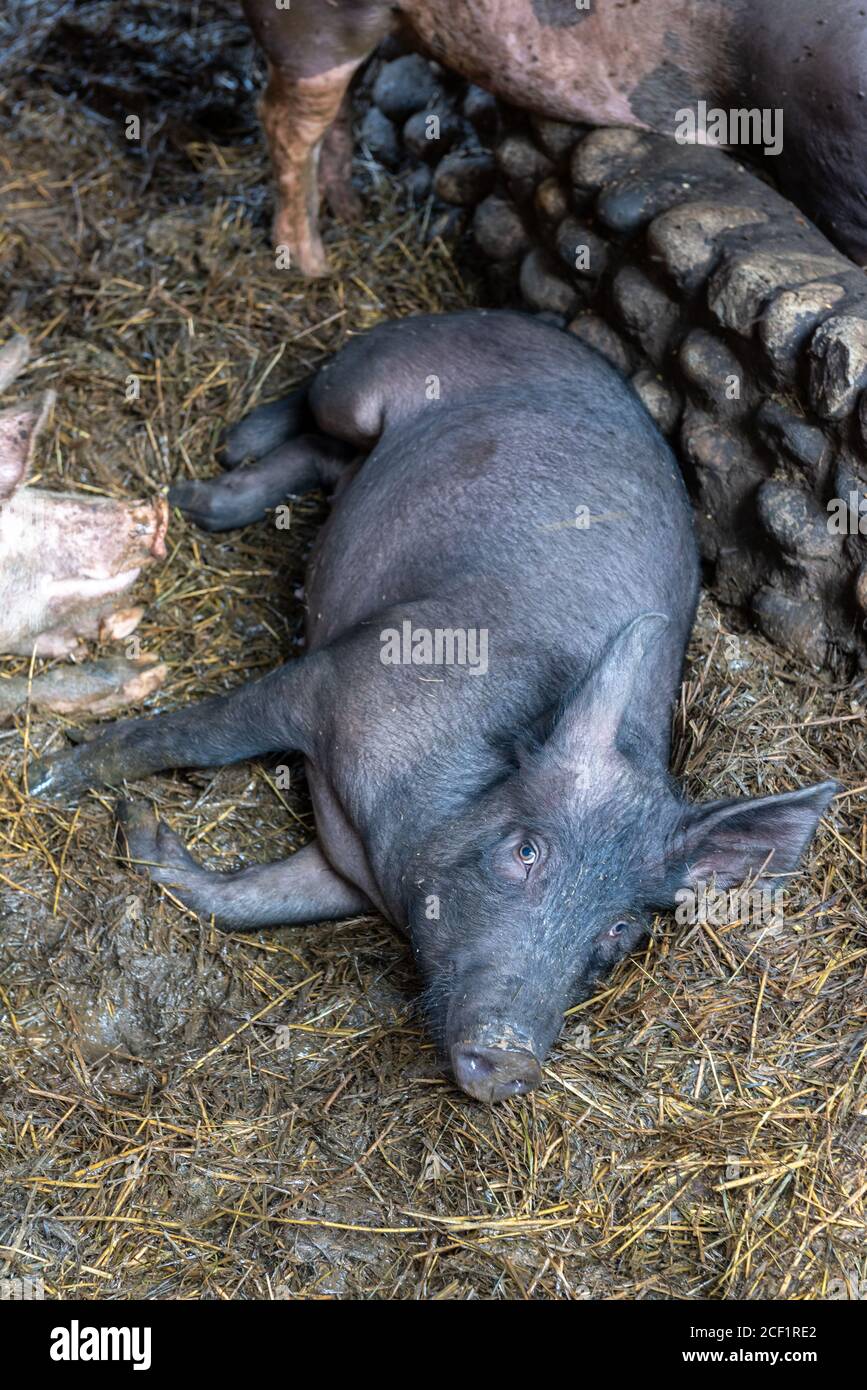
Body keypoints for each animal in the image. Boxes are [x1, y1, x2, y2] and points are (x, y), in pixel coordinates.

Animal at [29, 311, 840, 1102]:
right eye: (525, 850)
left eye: (617, 927)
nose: (511, 1058)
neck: (391, 854)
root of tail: (540, 326)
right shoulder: (330, 679)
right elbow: (190, 737)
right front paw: (52, 780)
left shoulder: (342, 871)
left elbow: (248, 901)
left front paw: (143, 828)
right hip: (365, 379)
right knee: (318, 410)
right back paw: (219, 461)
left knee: (327, 460)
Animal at [240, 0, 867, 274]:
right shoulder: (832, 161)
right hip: (312, 25)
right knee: (283, 120)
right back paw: (313, 263)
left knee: (336, 113)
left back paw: (351, 213)